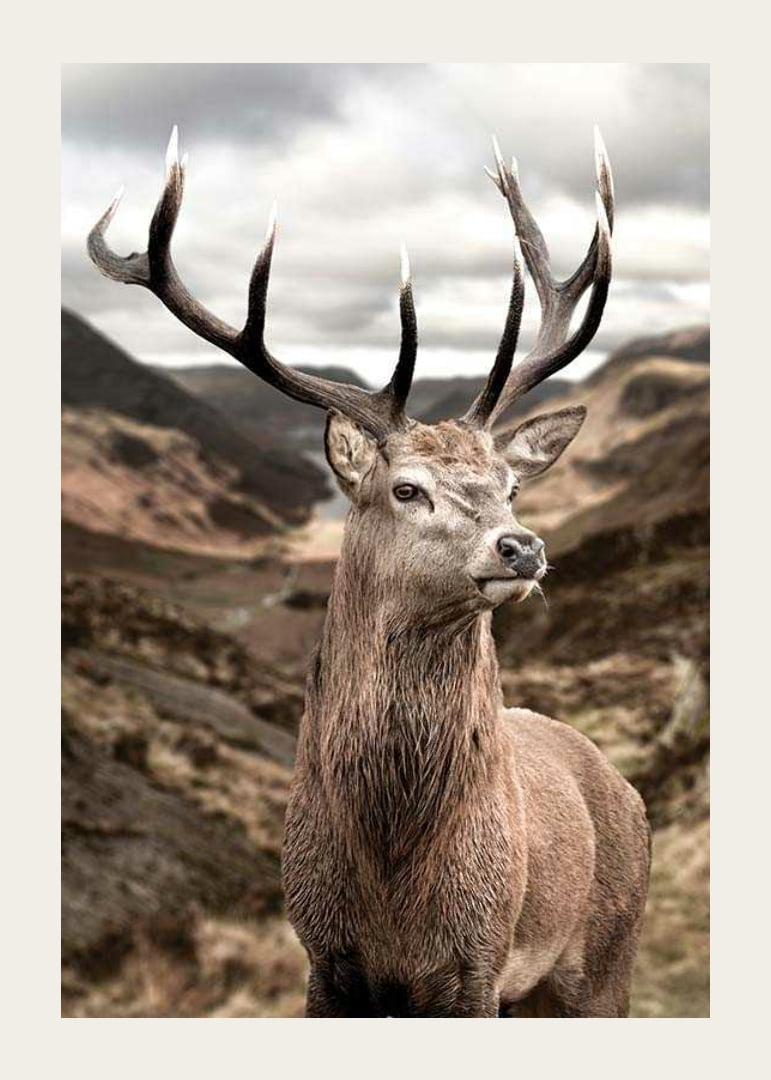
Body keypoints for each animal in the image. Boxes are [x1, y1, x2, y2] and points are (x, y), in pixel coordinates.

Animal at [88, 126, 651, 1018]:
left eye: (511, 486)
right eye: (406, 488)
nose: (521, 547)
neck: (390, 882)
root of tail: (625, 788)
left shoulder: (478, 960)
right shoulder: (322, 954)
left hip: (603, 960)